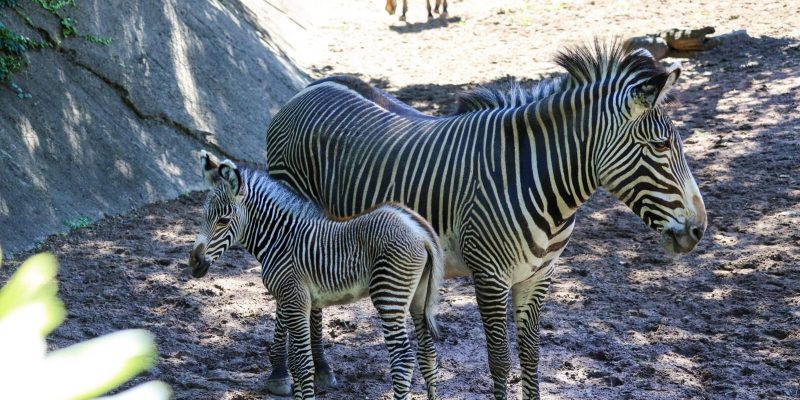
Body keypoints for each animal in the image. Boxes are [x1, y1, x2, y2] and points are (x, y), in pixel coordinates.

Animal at [188, 151, 444, 400]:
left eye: (223, 220)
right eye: (203, 216)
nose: (194, 261)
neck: (280, 240)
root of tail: (419, 231)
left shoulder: (294, 299)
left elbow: (303, 364)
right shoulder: (292, 302)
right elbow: (295, 362)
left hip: (389, 295)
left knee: (403, 360)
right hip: (418, 297)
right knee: (428, 355)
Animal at [263, 42, 708, 399]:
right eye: (661, 146)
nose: (699, 229)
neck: (537, 179)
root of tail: (311, 87)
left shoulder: (538, 276)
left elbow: (530, 357)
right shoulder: (490, 276)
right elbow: (500, 361)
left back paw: (322, 369)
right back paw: (280, 373)